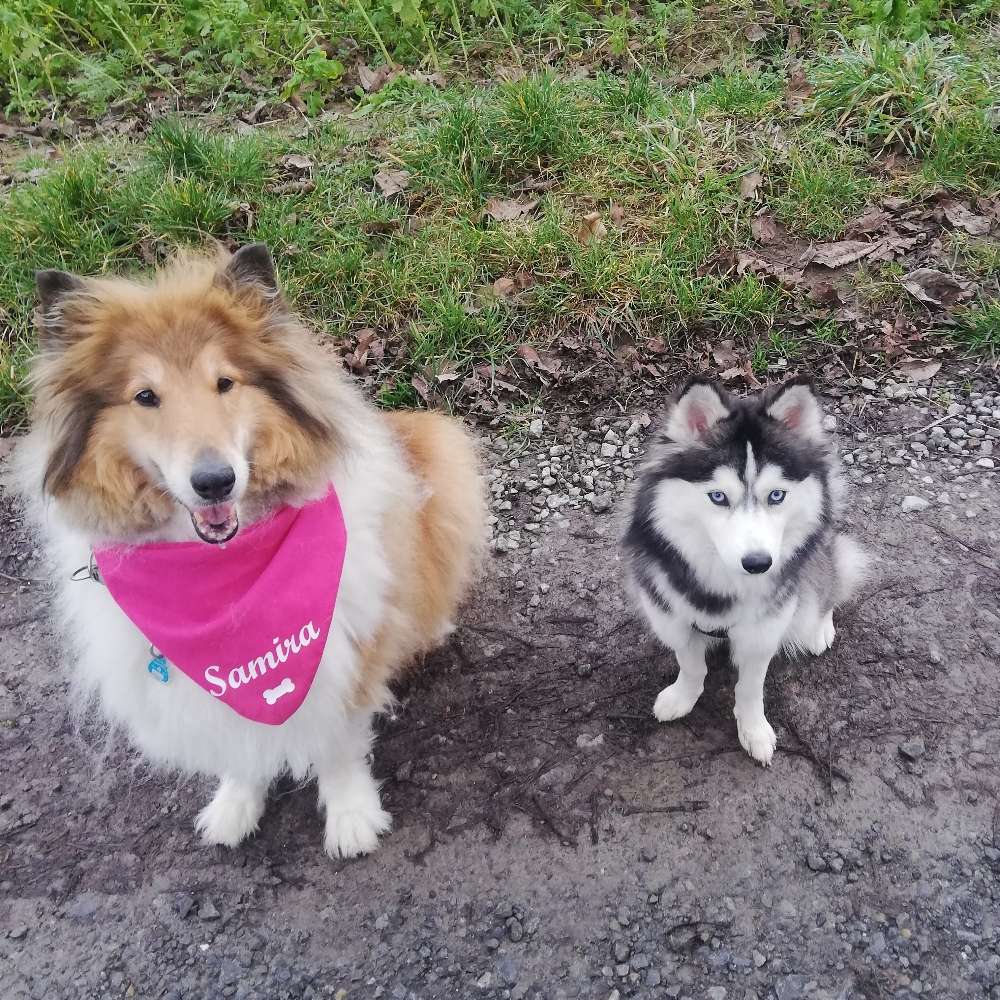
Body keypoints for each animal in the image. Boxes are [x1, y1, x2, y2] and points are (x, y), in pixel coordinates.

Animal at [15, 244, 484, 860]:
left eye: (225, 383)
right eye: (145, 396)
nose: (215, 482)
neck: (224, 575)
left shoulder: (349, 651)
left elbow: (337, 740)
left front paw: (352, 817)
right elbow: (237, 744)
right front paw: (235, 806)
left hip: (442, 457)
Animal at [624, 376, 868, 764]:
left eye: (777, 495)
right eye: (718, 497)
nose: (758, 563)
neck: (722, 584)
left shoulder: (763, 631)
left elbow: (751, 687)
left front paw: (753, 730)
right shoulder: (672, 616)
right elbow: (691, 665)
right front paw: (683, 697)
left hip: (814, 570)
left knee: (829, 578)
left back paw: (819, 628)